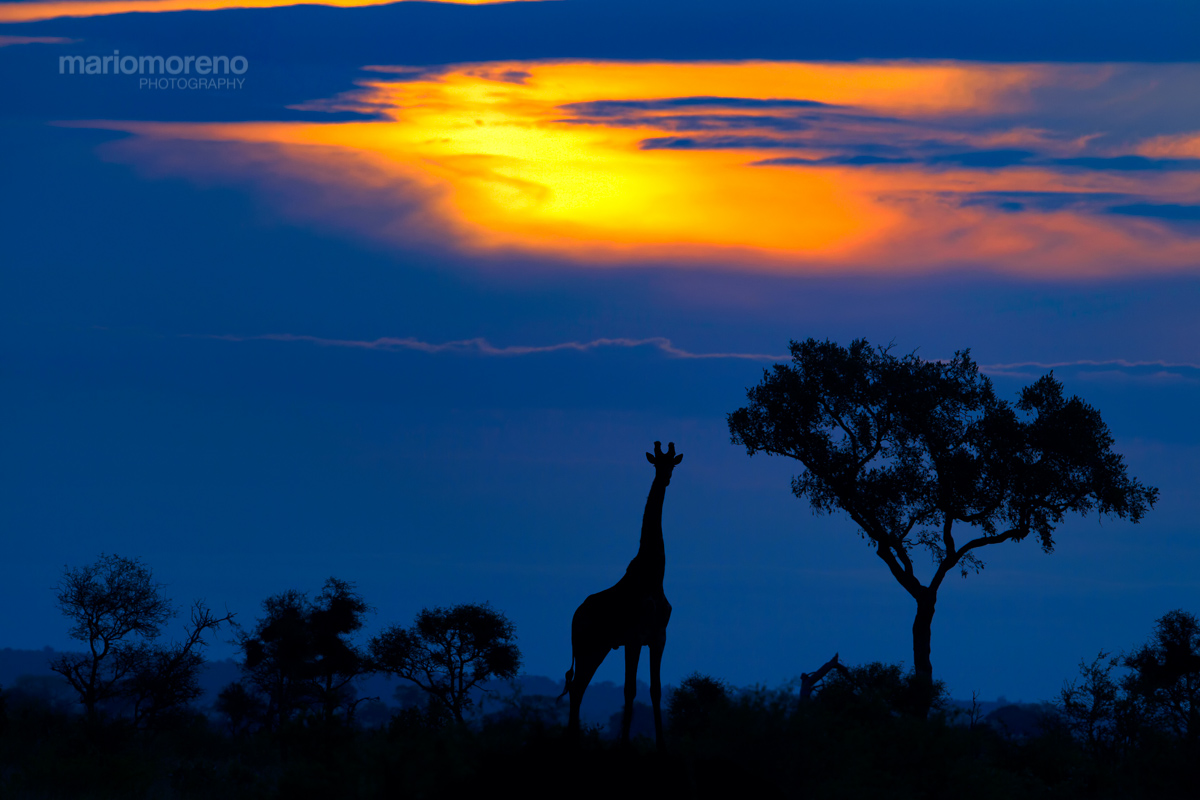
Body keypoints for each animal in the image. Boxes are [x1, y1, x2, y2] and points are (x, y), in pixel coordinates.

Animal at [558, 441, 682, 751]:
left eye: (672, 464)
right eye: (656, 463)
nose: (665, 478)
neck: (653, 577)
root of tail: (575, 615)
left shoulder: (658, 637)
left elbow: (655, 689)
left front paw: (661, 745)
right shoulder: (634, 637)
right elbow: (630, 689)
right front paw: (624, 744)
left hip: (599, 647)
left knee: (578, 686)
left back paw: (574, 740)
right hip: (587, 645)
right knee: (577, 686)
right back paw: (573, 740)